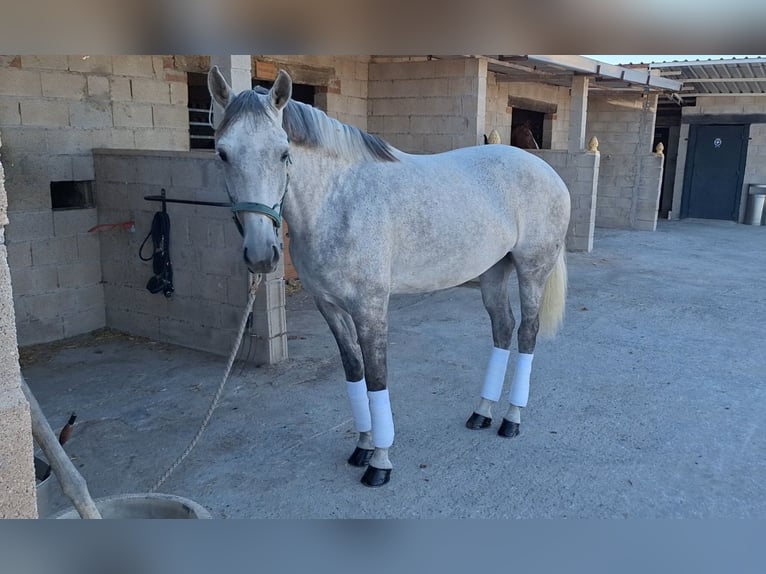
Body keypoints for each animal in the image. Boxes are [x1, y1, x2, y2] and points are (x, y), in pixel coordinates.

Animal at [207, 66, 570, 487]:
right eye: (222, 153)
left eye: (283, 152)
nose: (261, 254)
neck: (339, 201)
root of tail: (547, 170)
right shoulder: (329, 306)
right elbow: (354, 371)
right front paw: (363, 447)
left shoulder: (370, 307)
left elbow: (377, 377)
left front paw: (380, 462)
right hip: (494, 271)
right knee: (503, 328)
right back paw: (482, 412)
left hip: (532, 270)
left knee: (527, 331)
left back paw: (511, 419)